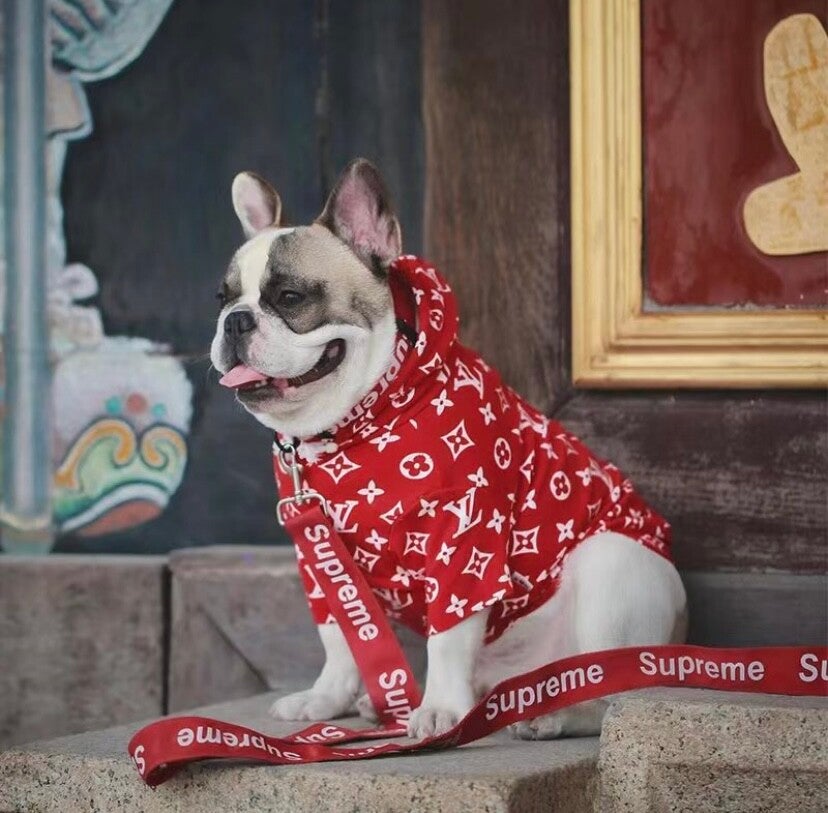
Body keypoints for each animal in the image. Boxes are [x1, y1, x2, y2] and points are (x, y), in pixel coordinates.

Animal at [211, 159, 687, 740]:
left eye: (290, 298)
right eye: (222, 299)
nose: (235, 320)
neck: (350, 427)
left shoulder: (462, 542)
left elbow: (447, 634)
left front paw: (439, 709)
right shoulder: (321, 558)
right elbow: (342, 635)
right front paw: (327, 698)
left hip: (613, 566)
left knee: (607, 689)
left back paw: (550, 716)